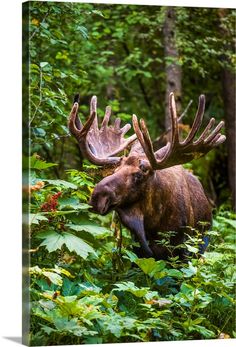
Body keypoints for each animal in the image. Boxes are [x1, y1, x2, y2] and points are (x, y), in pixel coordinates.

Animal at [68, 94, 225, 260]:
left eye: (139, 174)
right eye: (114, 170)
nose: (97, 197)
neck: (153, 224)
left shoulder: (183, 248)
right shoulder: (139, 250)